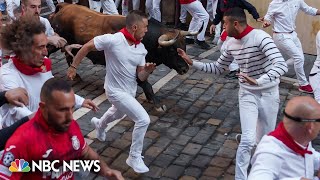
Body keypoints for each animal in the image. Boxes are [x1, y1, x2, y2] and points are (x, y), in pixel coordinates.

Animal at [50, 3, 198, 111]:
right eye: (172, 50)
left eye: (184, 47)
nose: (185, 69)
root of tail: (64, 6)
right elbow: (146, 84)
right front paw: (157, 102)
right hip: (58, 42)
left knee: (69, 56)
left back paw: (76, 76)